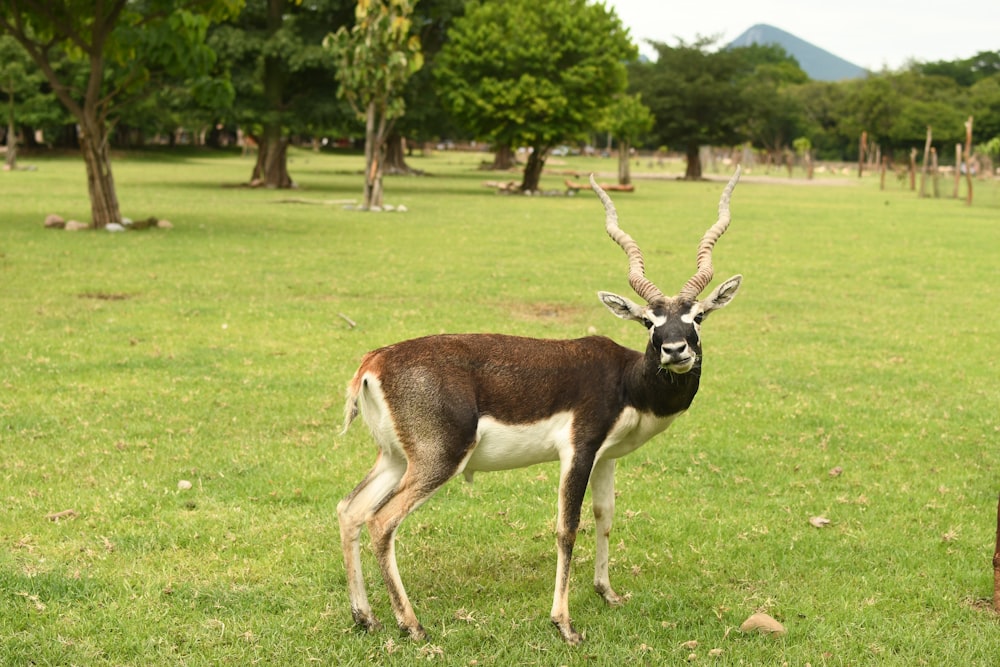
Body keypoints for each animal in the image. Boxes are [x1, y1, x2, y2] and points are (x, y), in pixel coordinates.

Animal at [342, 168, 744, 648]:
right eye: (649, 321)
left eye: (697, 316)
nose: (674, 349)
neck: (625, 380)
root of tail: (374, 361)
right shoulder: (579, 450)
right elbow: (567, 527)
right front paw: (564, 623)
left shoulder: (606, 457)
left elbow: (605, 515)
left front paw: (608, 593)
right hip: (438, 459)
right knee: (381, 521)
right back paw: (412, 624)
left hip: (395, 458)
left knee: (351, 510)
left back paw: (366, 618)